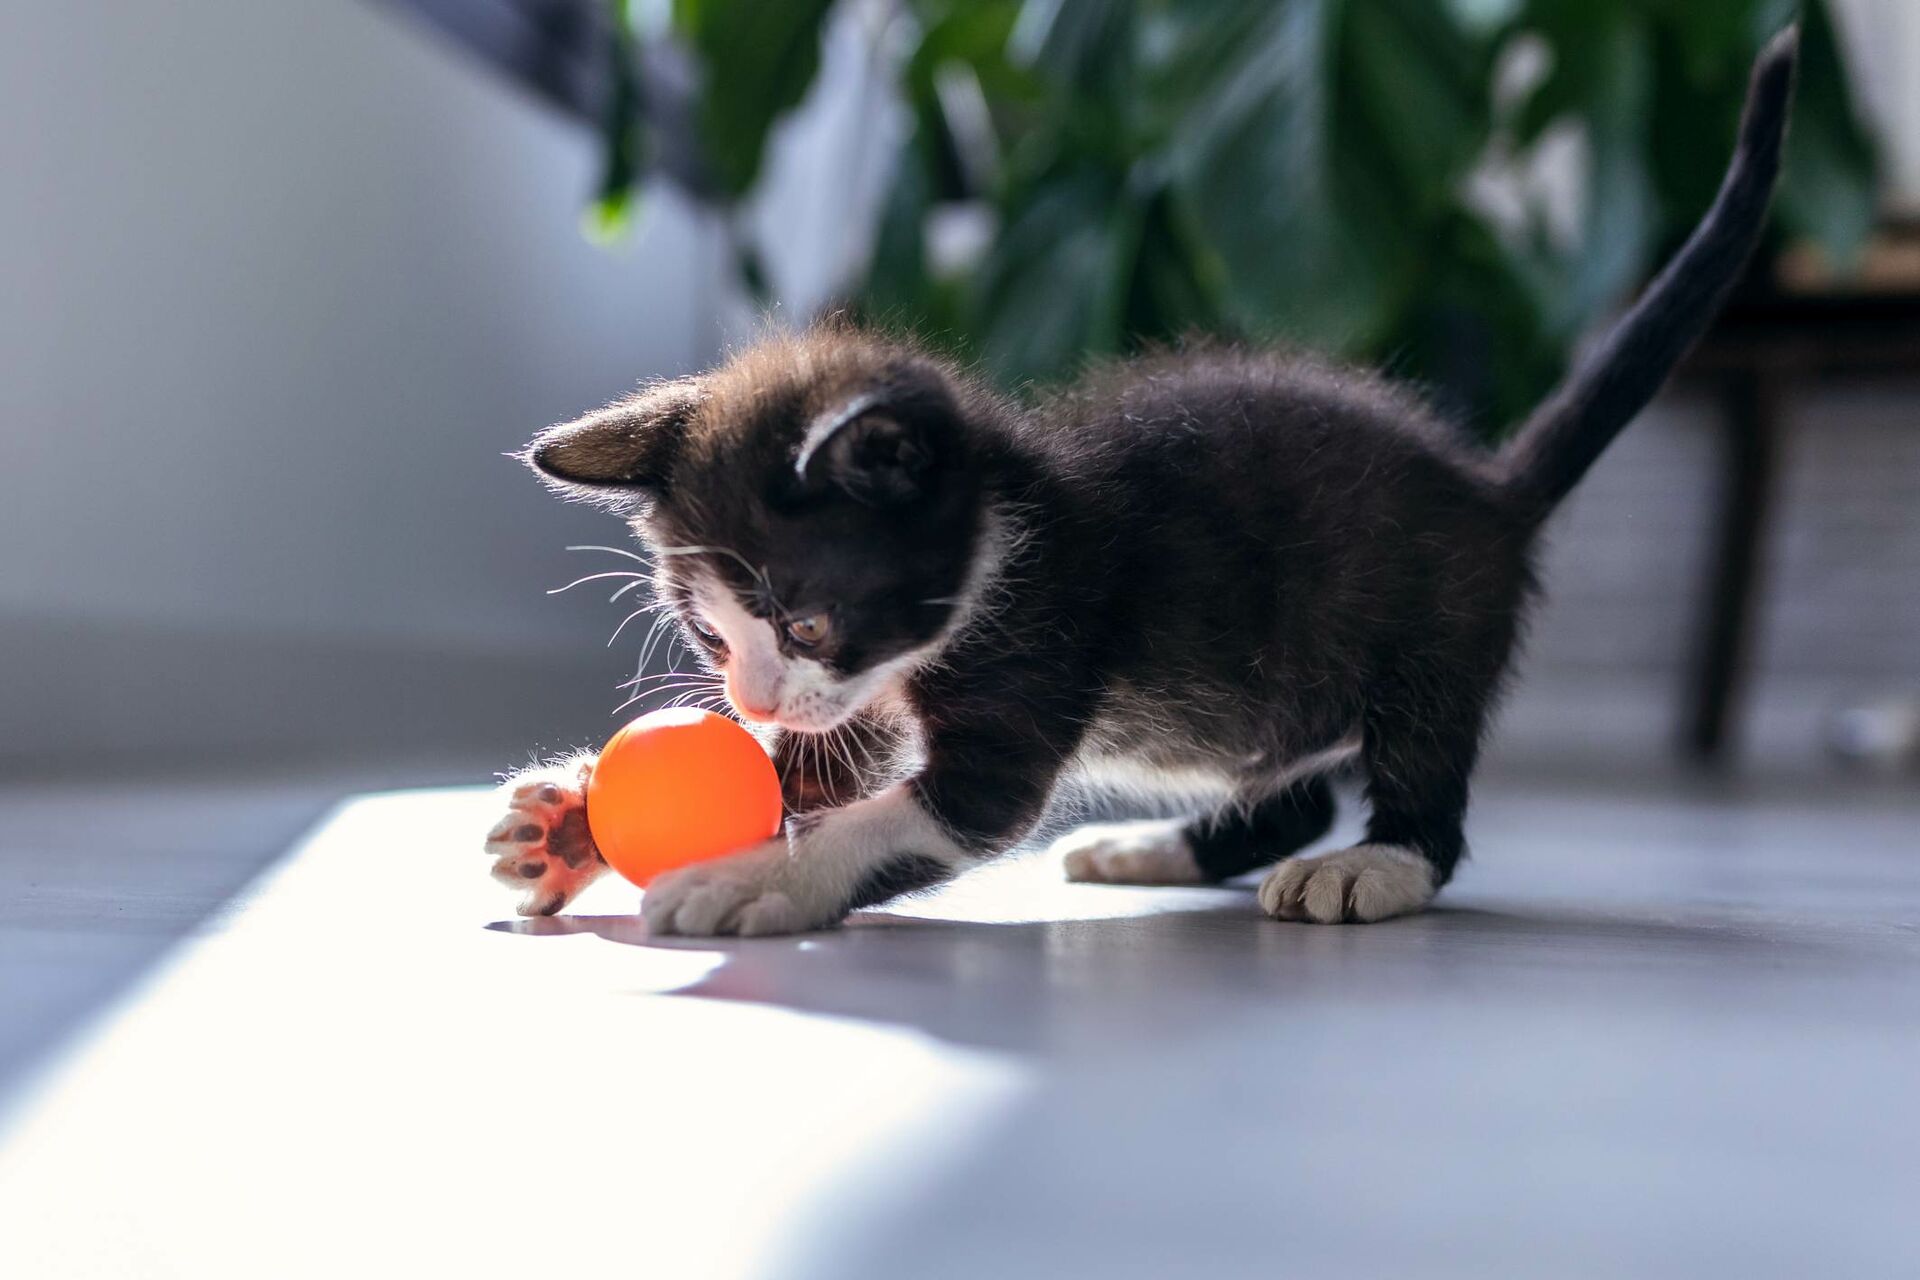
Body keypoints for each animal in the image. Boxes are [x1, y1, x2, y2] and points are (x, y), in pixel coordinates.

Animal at [483, 29, 1797, 932]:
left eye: (805, 618)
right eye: (712, 638)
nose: (745, 699)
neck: (1005, 530)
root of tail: (1490, 485)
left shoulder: (1032, 648)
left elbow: (916, 810)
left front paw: (760, 876)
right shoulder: (864, 692)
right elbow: (822, 760)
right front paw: (570, 825)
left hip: (1434, 627)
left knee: (1422, 771)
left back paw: (1373, 863)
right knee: (1292, 784)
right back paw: (1158, 848)